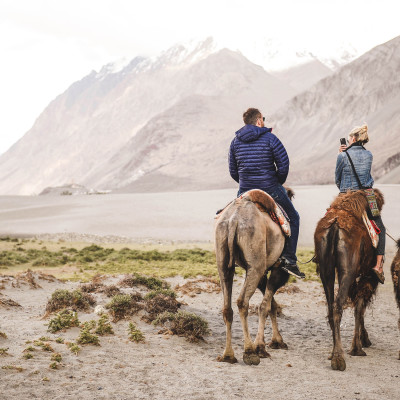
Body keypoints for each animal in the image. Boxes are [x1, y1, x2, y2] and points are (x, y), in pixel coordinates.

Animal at [216, 189, 290, 364]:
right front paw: (261, 346)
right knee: (243, 302)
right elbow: (265, 306)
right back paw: (249, 352)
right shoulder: (277, 269)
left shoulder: (262, 272)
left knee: (227, 306)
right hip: (255, 262)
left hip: (223, 258)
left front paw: (276, 341)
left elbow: (271, 304)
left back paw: (228, 355)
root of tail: (234, 220)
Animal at [314, 189, 382, 370]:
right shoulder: (367, 274)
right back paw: (339, 359)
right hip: (348, 270)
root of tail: (335, 226)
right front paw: (358, 346)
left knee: (331, 306)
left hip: (326, 270)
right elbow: (360, 306)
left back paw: (333, 353)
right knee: (339, 305)